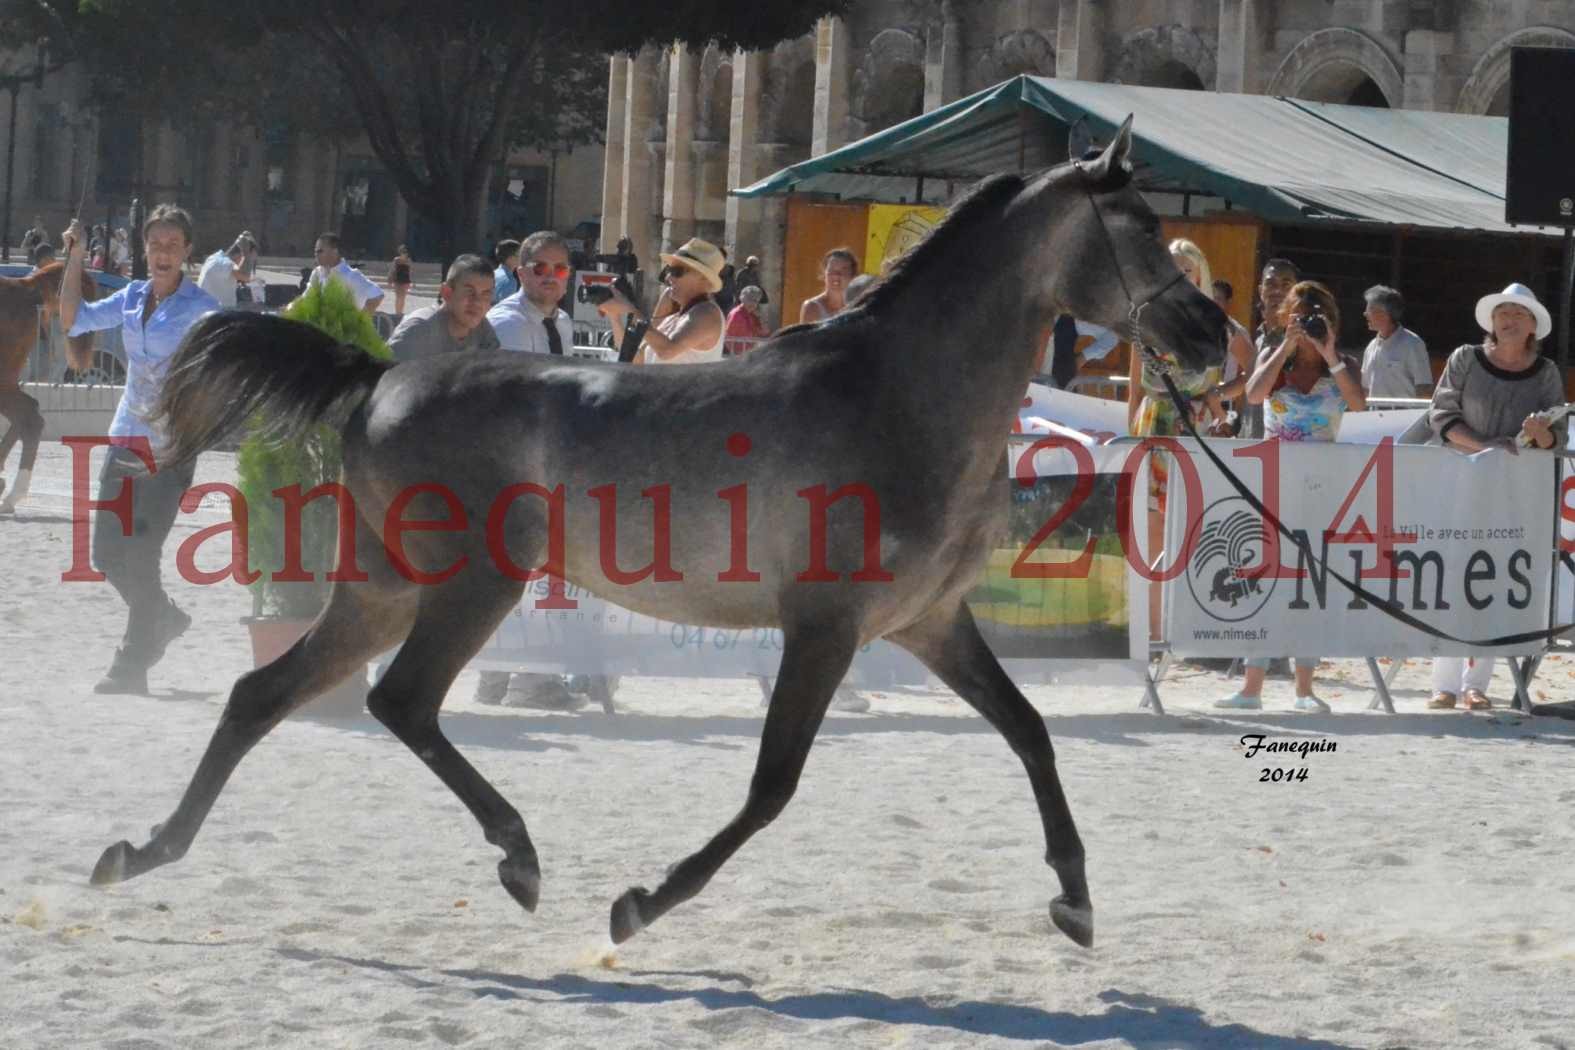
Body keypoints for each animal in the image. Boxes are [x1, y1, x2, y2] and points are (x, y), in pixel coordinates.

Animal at [89, 118, 1228, 950]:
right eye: (1135, 225)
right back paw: (519, 859)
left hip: (380, 591)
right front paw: (639, 904)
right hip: (471, 585)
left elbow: (1030, 730)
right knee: (398, 701)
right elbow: (772, 785)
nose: (1214, 333)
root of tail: (378, 377)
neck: (900, 392)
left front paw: (1074, 899)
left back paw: (142, 853)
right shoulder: (825, 629)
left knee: (263, 695)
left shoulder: (931, 623)